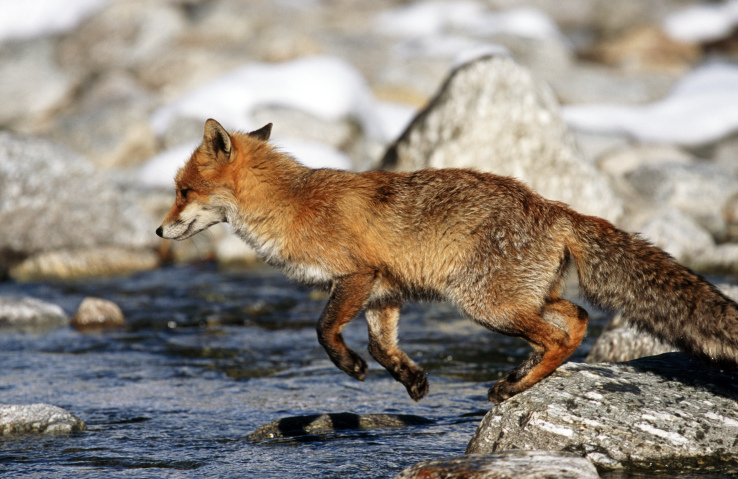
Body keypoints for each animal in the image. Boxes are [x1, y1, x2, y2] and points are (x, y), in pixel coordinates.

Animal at [157, 119, 738, 404]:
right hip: (524, 297)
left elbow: (324, 332)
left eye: (183, 191)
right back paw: (524, 375)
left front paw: (351, 367)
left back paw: (515, 385)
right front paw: (411, 380)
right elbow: (382, 345)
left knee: (558, 334)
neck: (292, 205)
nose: (159, 231)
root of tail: (553, 207)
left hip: (484, 304)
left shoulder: (356, 276)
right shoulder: (383, 293)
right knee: (576, 320)